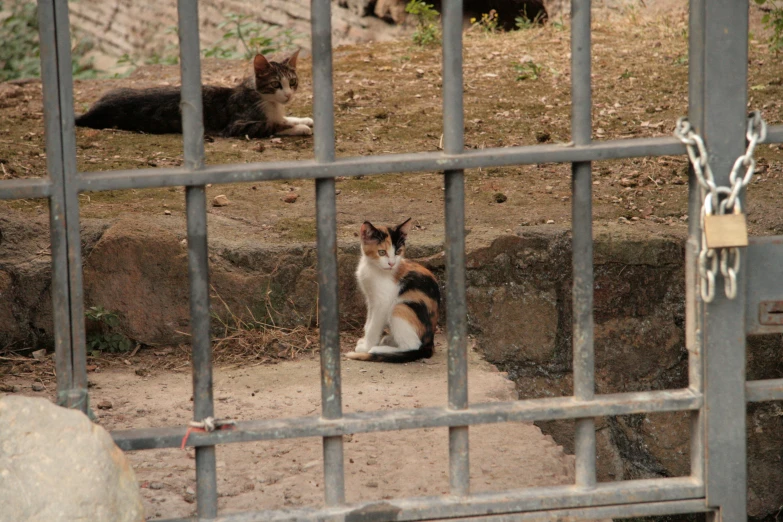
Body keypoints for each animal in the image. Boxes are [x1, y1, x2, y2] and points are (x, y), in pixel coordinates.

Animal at [75, 49, 314, 136]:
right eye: (275, 84)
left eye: (292, 82)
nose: (288, 95)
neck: (266, 100)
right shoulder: (238, 125)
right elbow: (272, 124)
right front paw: (300, 127)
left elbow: (283, 118)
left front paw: (304, 119)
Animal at [344, 218, 438, 362]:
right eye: (382, 252)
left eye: (398, 252)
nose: (392, 263)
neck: (374, 268)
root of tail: (430, 343)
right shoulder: (371, 299)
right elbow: (368, 323)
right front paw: (364, 341)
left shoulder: (383, 302)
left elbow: (373, 327)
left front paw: (366, 347)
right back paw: (389, 340)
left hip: (400, 307)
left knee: (412, 345)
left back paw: (378, 350)